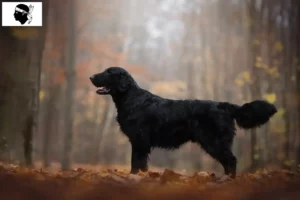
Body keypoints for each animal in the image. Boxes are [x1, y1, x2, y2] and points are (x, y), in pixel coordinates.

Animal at [89, 66, 276, 177]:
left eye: (109, 72)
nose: (90, 77)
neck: (132, 99)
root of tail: (224, 105)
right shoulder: (139, 141)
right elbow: (140, 163)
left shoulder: (140, 140)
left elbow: (136, 162)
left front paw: (134, 177)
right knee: (228, 161)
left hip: (213, 141)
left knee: (231, 160)